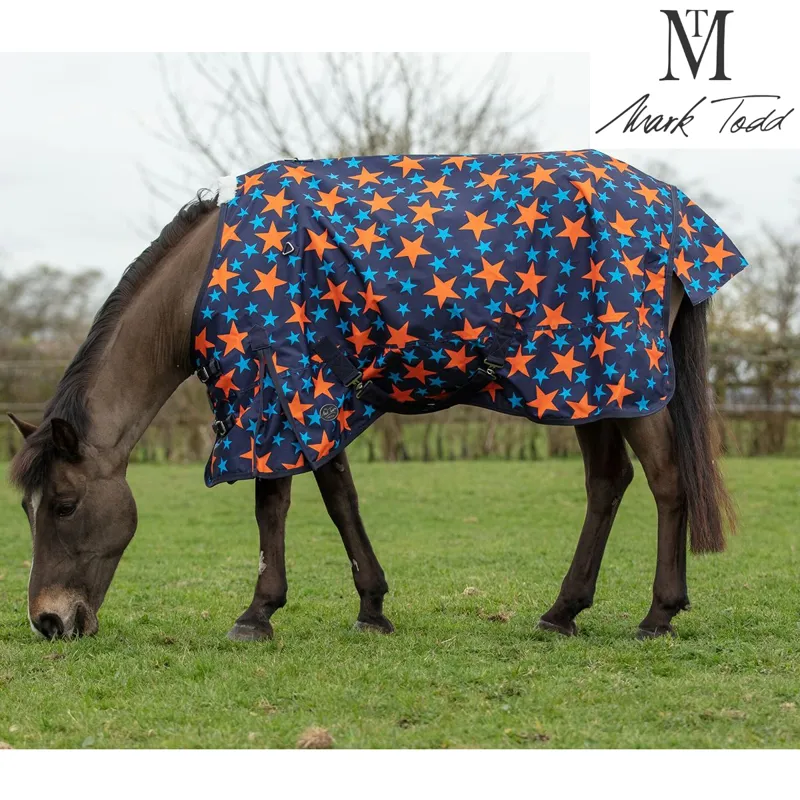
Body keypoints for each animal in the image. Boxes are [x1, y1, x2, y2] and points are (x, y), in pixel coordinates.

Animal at [7, 150, 744, 642]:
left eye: (65, 504)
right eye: (27, 508)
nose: (48, 621)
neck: (209, 277)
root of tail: (669, 209)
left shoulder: (275, 393)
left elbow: (271, 504)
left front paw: (257, 614)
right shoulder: (314, 396)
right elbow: (340, 499)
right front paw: (371, 608)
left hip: (622, 378)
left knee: (667, 481)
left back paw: (657, 615)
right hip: (587, 387)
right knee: (608, 483)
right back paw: (563, 612)